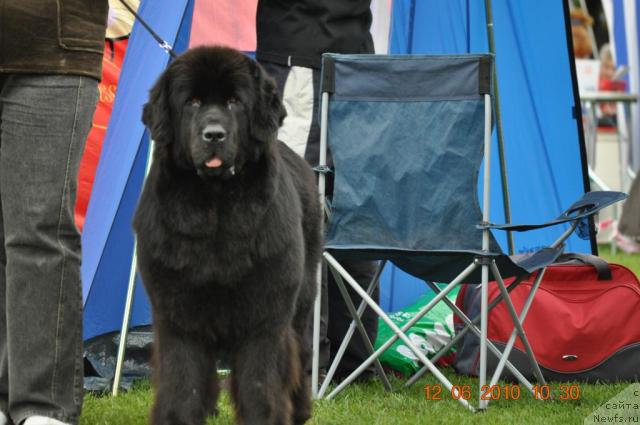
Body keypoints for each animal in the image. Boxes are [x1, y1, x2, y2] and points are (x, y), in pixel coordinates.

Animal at [136, 46, 324, 424]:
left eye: (235, 102)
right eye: (192, 102)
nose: (214, 134)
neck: (216, 206)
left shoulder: (266, 316)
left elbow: (260, 383)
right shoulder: (178, 313)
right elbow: (184, 382)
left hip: (302, 300)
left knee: (301, 353)